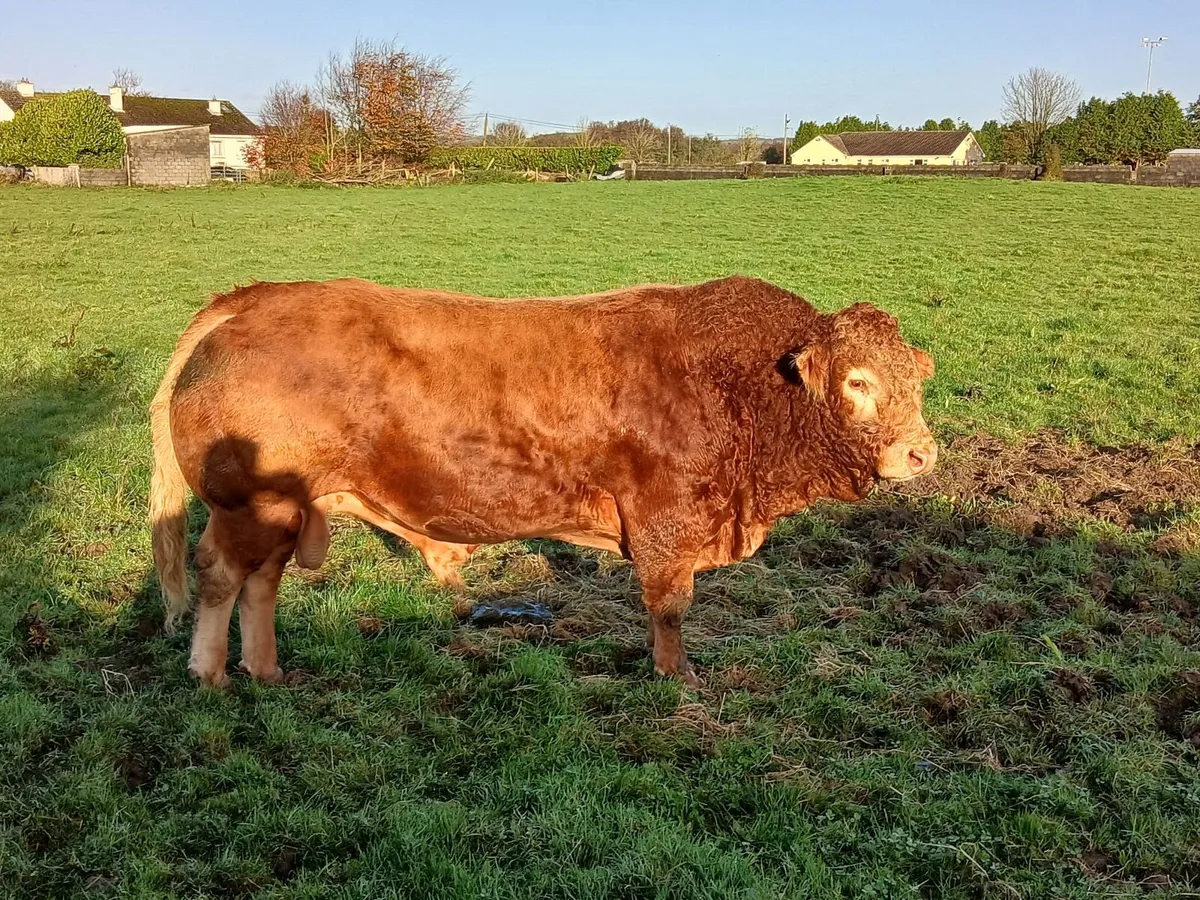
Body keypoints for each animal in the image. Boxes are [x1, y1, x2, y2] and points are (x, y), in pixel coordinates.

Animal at [150, 275, 937, 688]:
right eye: (858, 382)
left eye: (916, 380)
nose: (921, 454)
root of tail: (253, 298)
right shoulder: (666, 523)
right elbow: (670, 609)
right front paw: (675, 679)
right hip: (250, 507)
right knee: (220, 577)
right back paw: (212, 673)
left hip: (282, 510)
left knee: (261, 584)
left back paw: (266, 670)